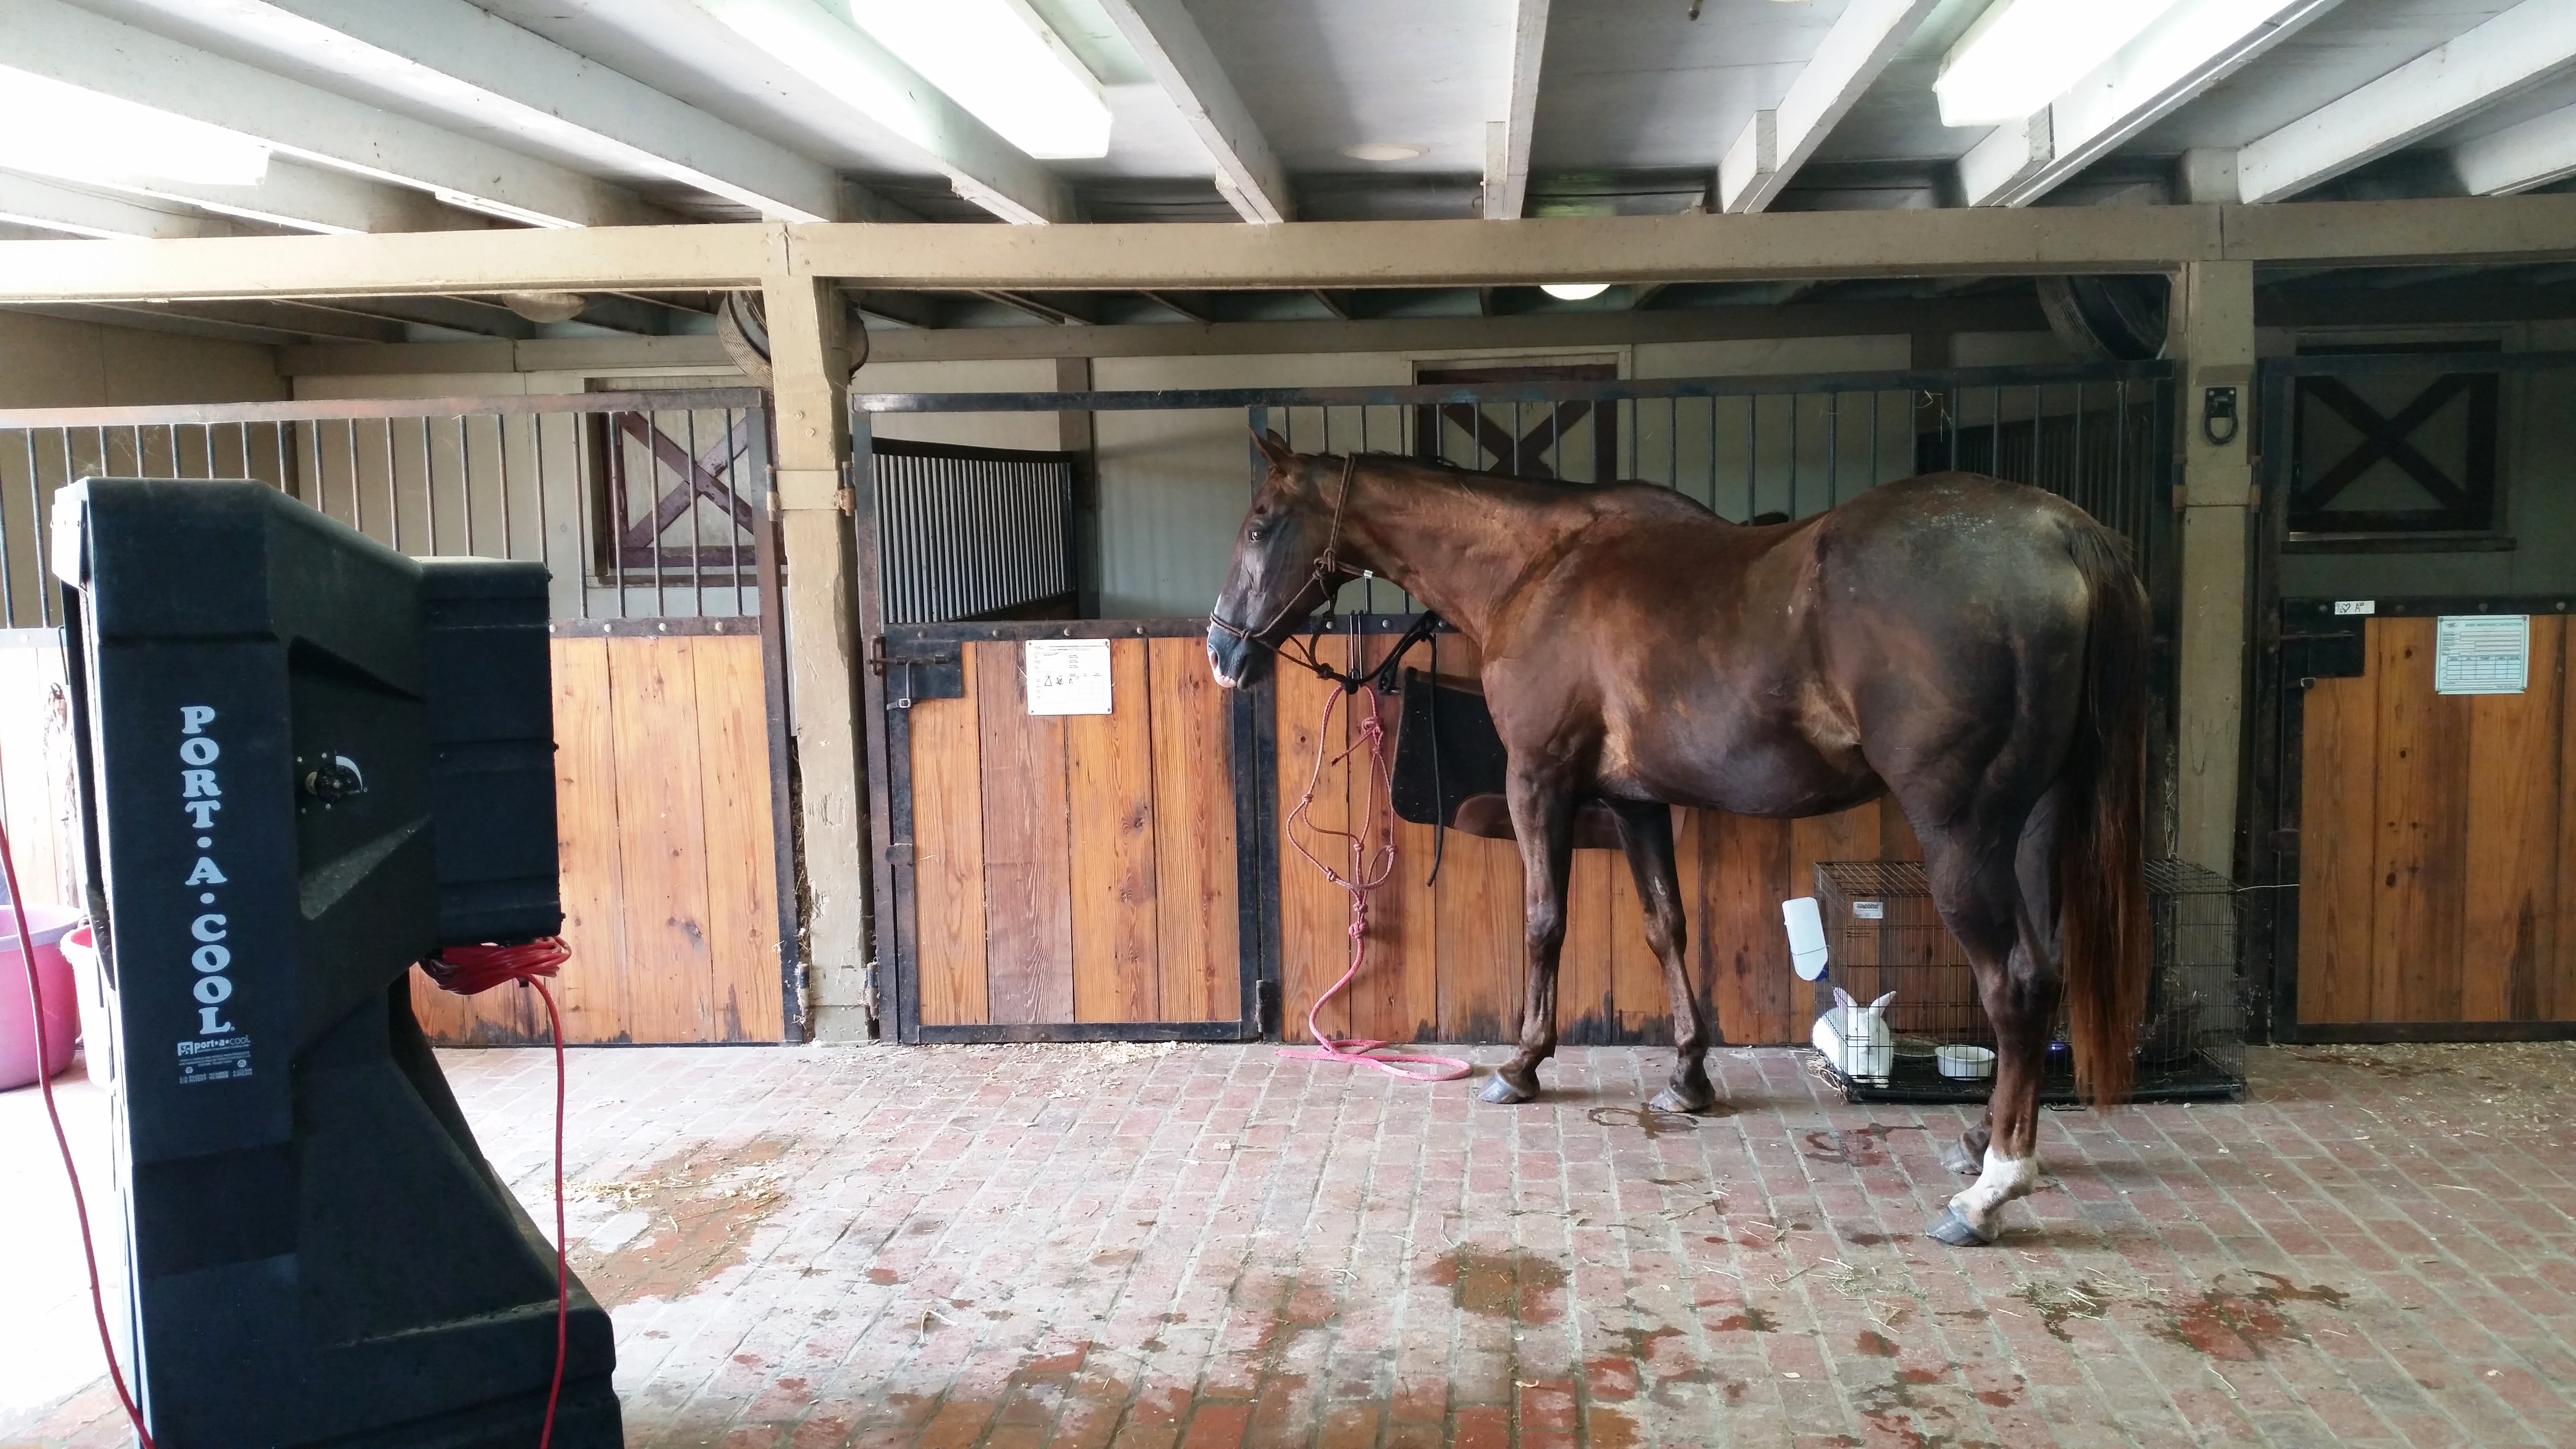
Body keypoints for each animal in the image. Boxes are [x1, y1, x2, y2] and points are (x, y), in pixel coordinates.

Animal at [1206, 432, 2150, 1246]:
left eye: (1260, 521)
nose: (1221, 652)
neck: (1539, 569)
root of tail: (2057, 530)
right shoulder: (1636, 802)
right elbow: (1667, 925)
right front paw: (1687, 1077)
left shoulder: (1539, 781)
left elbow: (1544, 922)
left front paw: (1523, 1064)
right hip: (2034, 826)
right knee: (2045, 975)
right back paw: (1980, 1139)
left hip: (1962, 833)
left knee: (2013, 983)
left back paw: (1990, 1189)